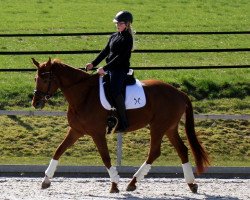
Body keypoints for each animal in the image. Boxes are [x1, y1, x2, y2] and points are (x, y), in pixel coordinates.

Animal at [31, 57, 208, 194]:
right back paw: (191, 184)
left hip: (158, 127)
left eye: (45, 79)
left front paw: (115, 184)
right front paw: (46, 180)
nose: (35, 103)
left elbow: (105, 158)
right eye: (35, 79)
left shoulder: (97, 133)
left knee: (154, 152)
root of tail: (180, 93)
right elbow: (58, 150)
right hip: (169, 128)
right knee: (182, 150)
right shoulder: (76, 130)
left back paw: (133, 182)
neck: (83, 95)